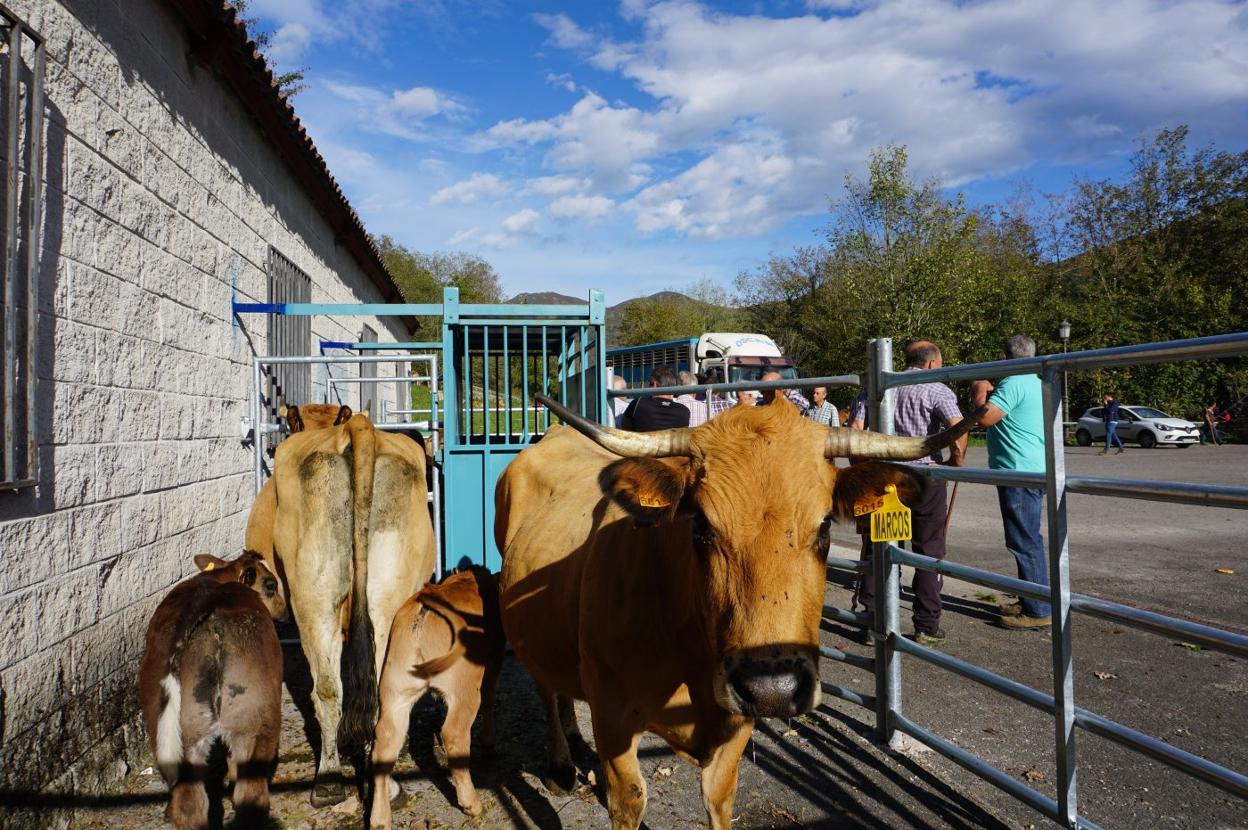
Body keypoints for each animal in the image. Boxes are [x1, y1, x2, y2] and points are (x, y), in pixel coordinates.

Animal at [139, 549, 287, 828]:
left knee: (190, 802)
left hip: (179, 730)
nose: (285, 613)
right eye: (270, 585)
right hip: (256, 719)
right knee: (250, 795)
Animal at [366, 566, 504, 823]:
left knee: (384, 743)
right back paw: (471, 804)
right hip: (465, 687)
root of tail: (424, 607)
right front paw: (489, 745)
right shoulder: (494, 661)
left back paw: (380, 819)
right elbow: (490, 700)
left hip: (395, 692)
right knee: (455, 734)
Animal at [491, 391, 978, 823]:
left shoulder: (736, 722)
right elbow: (629, 800)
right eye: (702, 528)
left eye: (824, 527)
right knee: (546, 689)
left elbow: (719, 797)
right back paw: (560, 764)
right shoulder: (612, 717)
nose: (774, 689)